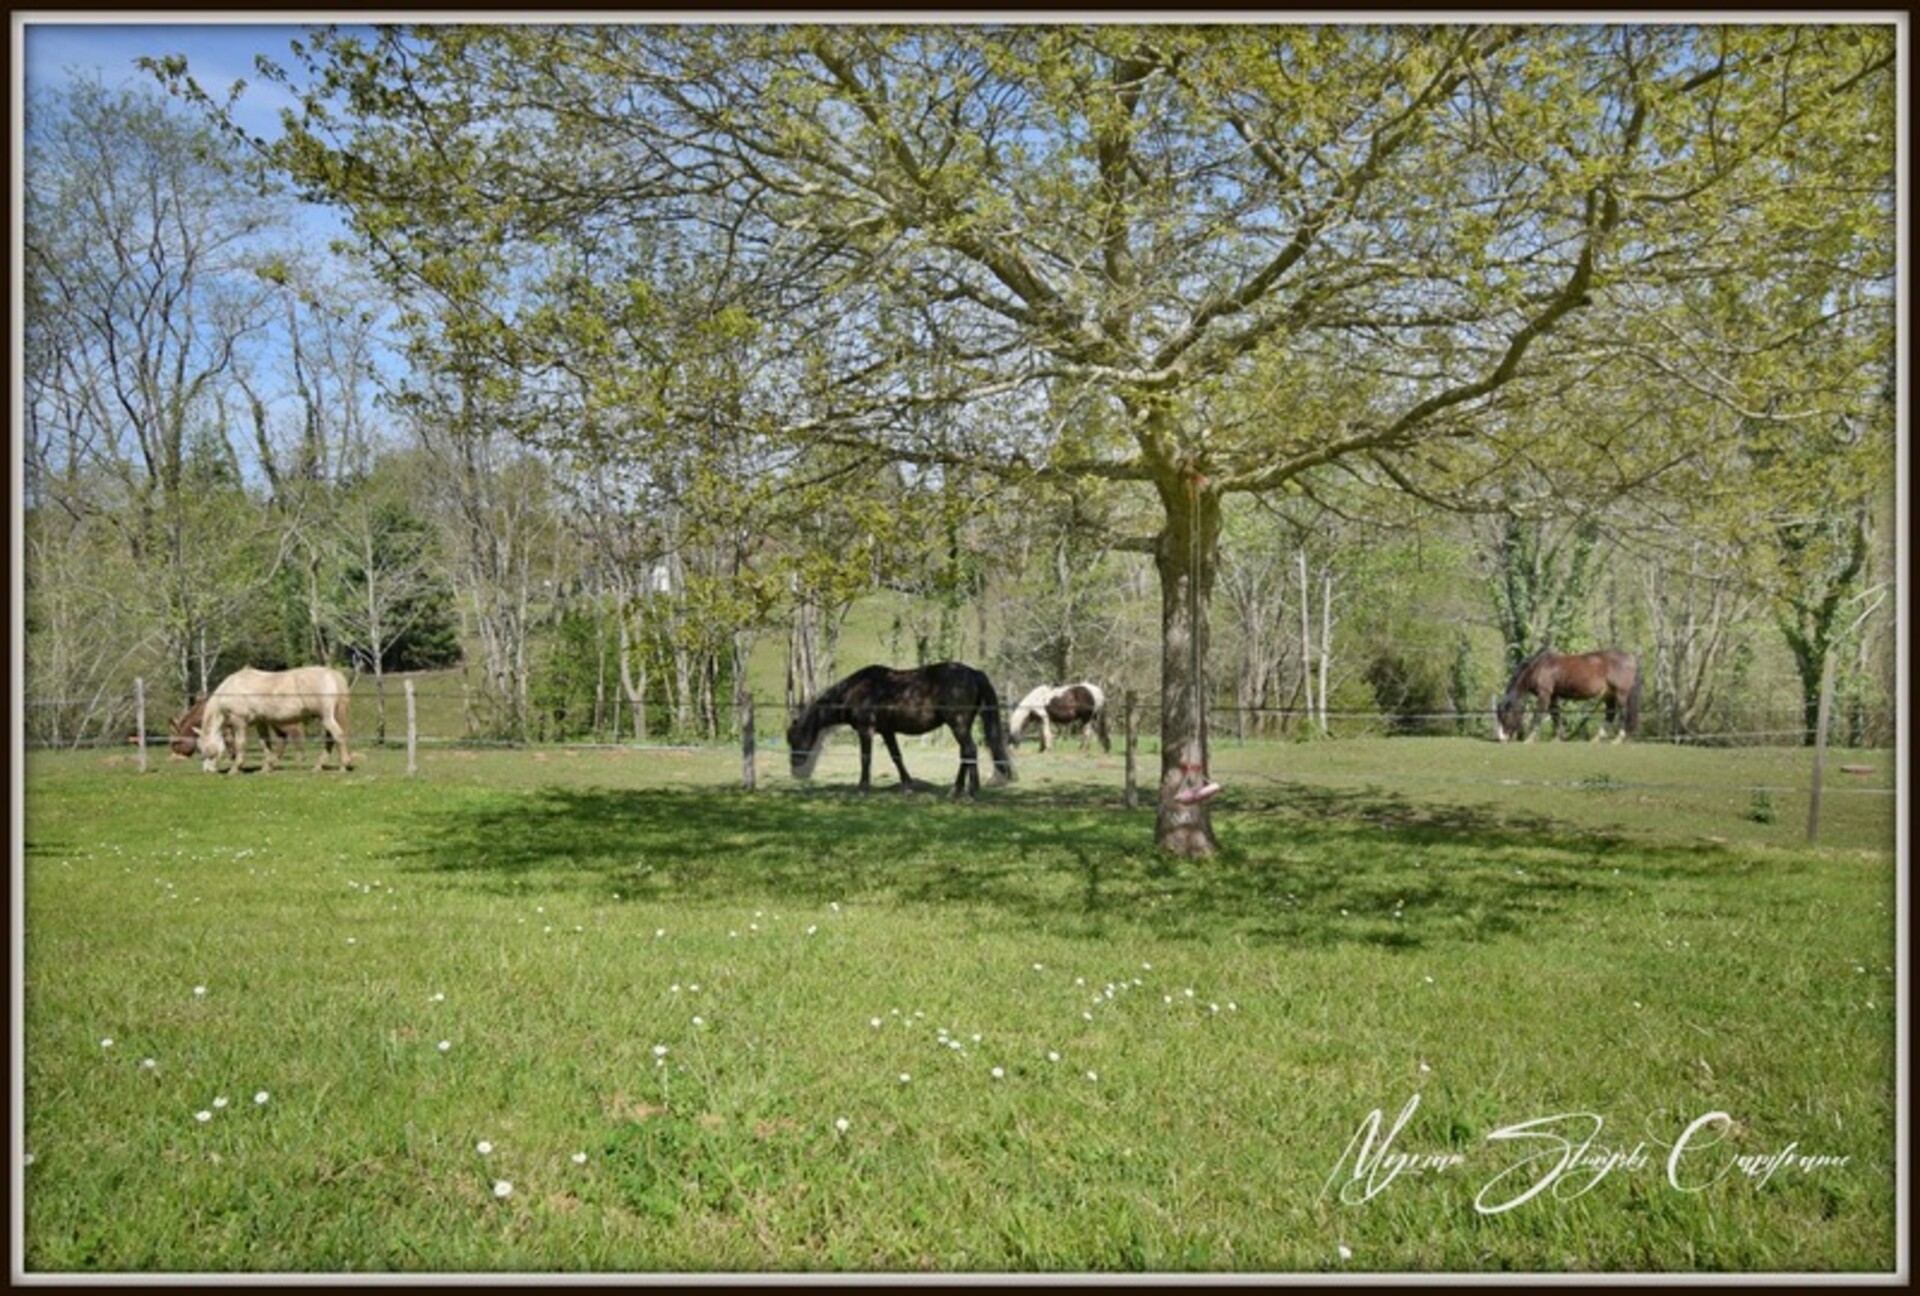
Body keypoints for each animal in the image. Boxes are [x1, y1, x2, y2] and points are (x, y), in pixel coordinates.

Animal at [198, 668, 357, 771]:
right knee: (330, 739)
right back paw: (319, 766)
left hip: (326, 717)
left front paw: (235, 768)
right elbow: (265, 743)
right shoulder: (260, 722)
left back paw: (343, 765)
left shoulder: (239, 722)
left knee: (337, 735)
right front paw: (266, 767)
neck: (232, 688)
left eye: (203, 749)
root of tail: (331, 674)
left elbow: (240, 743)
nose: (207, 770)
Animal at [783, 664, 1021, 794]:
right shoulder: (887, 732)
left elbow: (865, 758)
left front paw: (863, 787)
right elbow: (896, 757)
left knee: (969, 751)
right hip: (962, 726)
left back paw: (965, 791)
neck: (858, 689)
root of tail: (973, 672)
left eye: (794, 739)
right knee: (967, 753)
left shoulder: (866, 730)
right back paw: (964, 789)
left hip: (958, 725)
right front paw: (908, 784)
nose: (795, 766)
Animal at [1489, 645, 1643, 744]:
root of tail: (1631, 658)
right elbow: (1556, 715)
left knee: (1622, 713)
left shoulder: (1545, 694)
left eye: (1505, 715)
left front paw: (1529, 739)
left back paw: (1617, 739)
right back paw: (1596, 739)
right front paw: (1558, 738)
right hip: (1608, 694)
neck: (1538, 667)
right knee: (1610, 714)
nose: (1502, 738)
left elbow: (1539, 715)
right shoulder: (1553, 697)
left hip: (1620, 694)